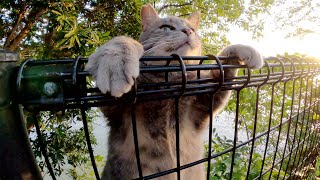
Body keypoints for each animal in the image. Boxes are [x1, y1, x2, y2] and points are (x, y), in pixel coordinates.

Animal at [85, 3, 262, 179]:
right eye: (166, 28)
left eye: (192, 29)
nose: (188, 31)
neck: (172, 80)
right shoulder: (115, 109)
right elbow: (126, 40)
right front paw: (114, 61)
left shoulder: (204, 104)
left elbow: (222, 66)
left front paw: (246, 50)